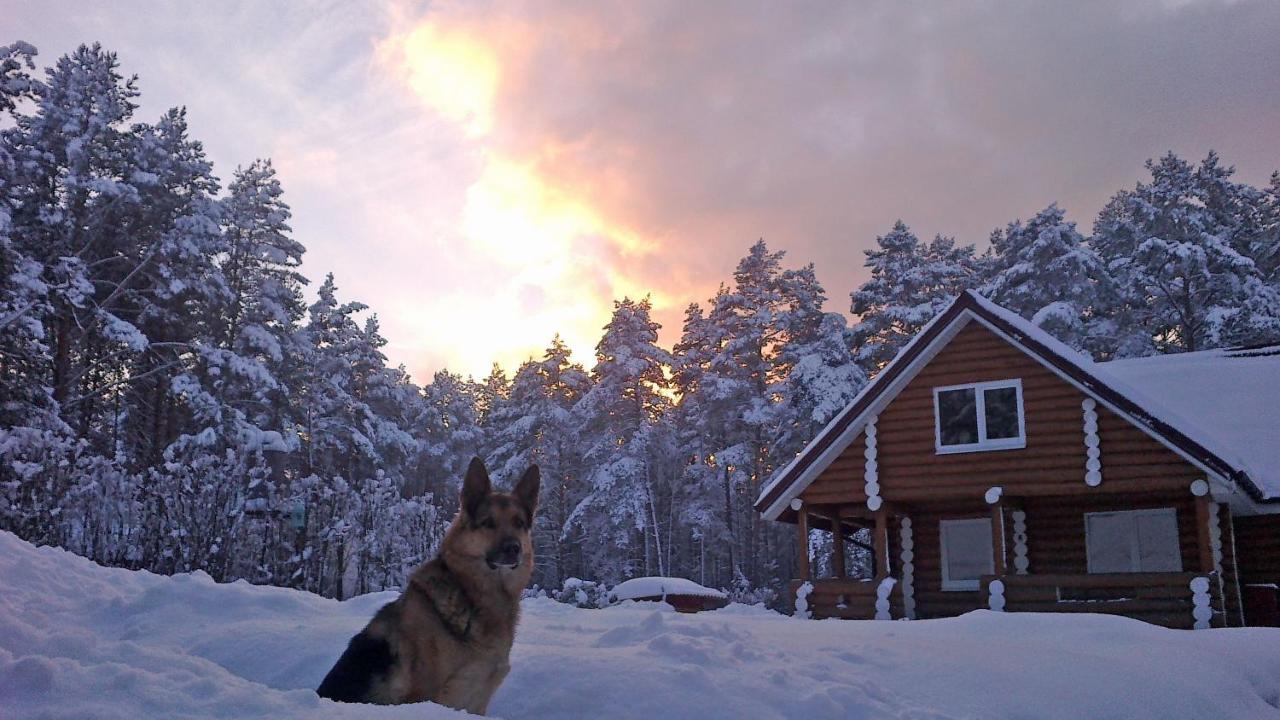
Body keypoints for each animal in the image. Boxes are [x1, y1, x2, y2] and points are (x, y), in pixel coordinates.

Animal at [322, 453, 542, 712]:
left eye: (519, 523)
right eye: (488, 523)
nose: (513, 549)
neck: (475, 597)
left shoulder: (477, 702)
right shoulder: (425, 694)